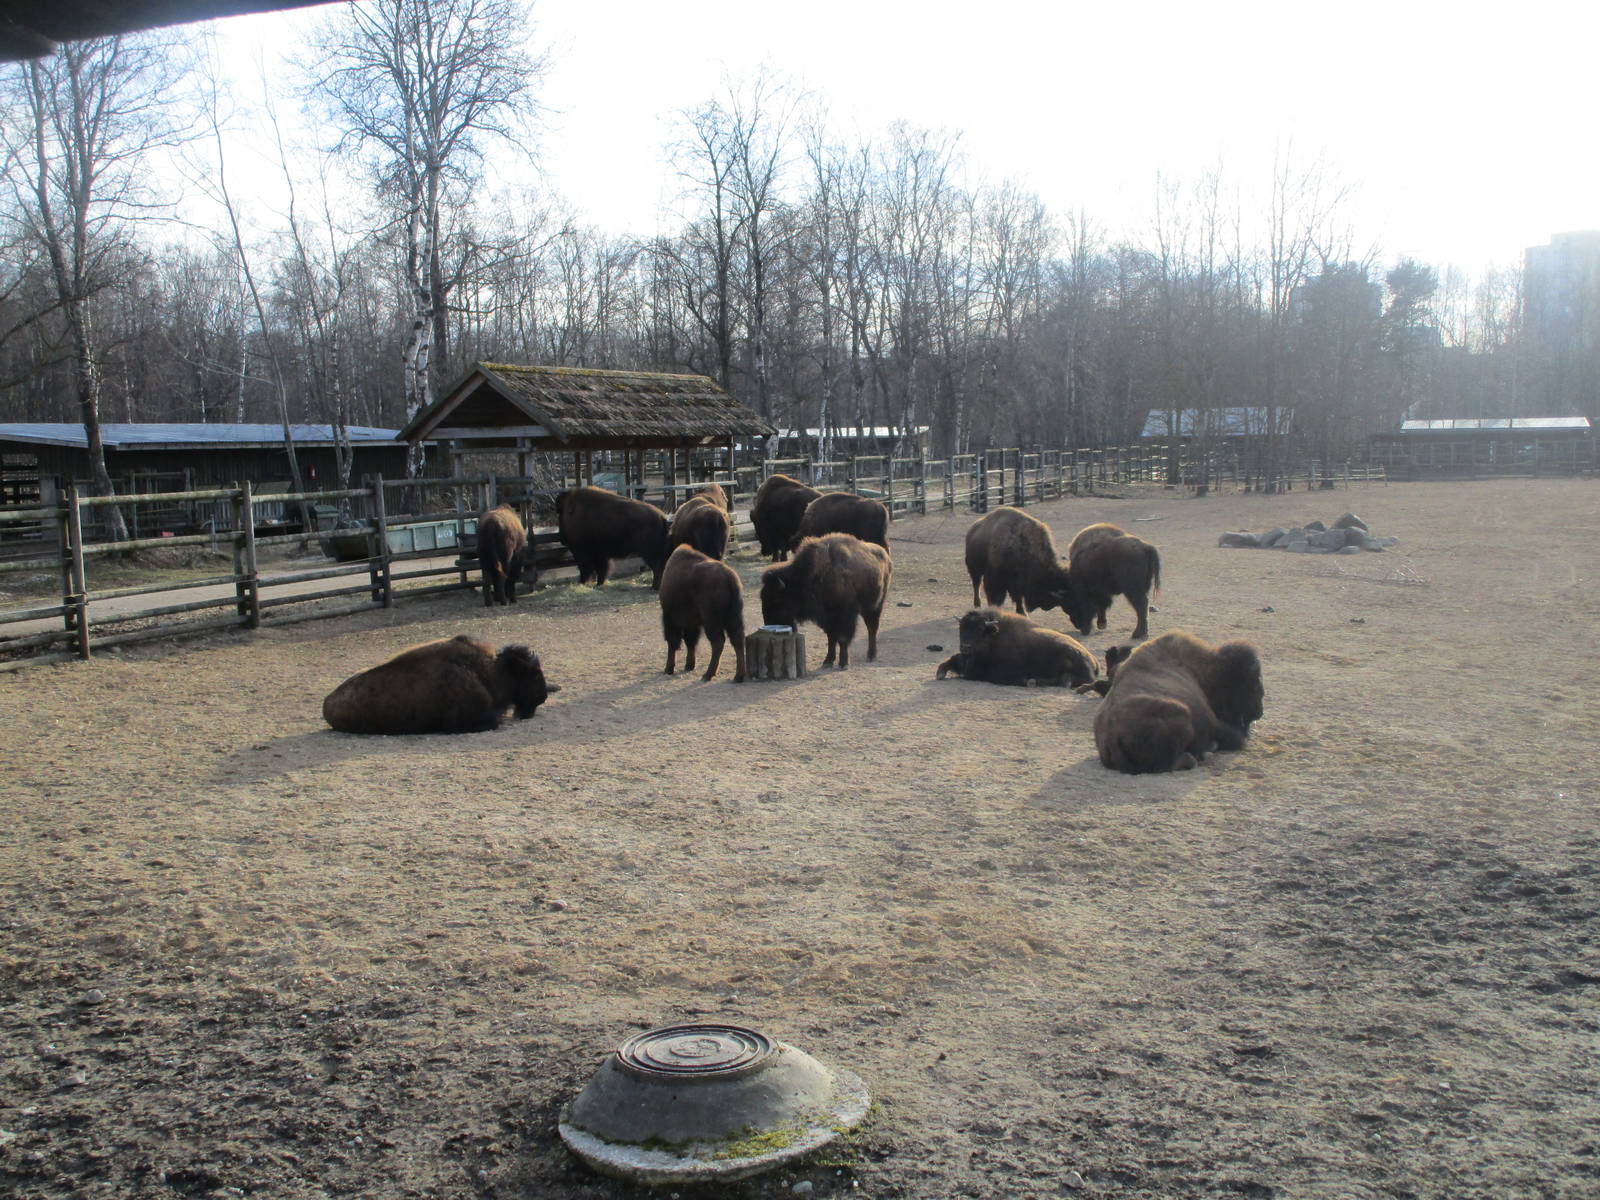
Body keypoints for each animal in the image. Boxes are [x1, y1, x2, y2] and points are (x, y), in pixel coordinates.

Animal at [659, 544, 746, 682]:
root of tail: (729, 577)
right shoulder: (692, 623)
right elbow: (690, 641)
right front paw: (689, 665)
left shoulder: (670, 619)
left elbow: (673, 642)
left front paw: (669, 669)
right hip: (733, 617)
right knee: (737, 639)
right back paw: (738, 676)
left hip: (711, 621)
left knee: (718, 642)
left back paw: (708, 674)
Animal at [760, 532, 892, 669]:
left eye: (777, 599)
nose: (769, 622)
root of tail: (885, 556)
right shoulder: (827, 618)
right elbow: (831, 638)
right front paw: (828, 661)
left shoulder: (844, 616)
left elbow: (842, 638)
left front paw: (843, 663)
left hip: (875, 607)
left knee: (872, 629)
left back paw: (871, 656)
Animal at [936, 608, 1099, 688]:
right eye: (961, 627)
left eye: (980, 629)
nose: (965, 646)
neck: (994, 637)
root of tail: (1093, 659)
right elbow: (950, 661)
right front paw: (940, 674)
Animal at [963, 507, 1095, 631]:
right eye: (1072, 599)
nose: (1083, 625)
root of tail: (973, 529)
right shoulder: (995, 579)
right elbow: (996, 598)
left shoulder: (1017, 582)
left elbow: (1018, 598)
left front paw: (1023, 614)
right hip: (974, 568)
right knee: (976, 585)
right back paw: (977, 604)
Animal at [1093, 630, 1264, 774]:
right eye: (1253, 683)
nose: (1259, 712)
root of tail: (1110, 738)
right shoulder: (1212, 722)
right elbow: (1236, 739)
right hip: (1181, 713)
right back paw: (1202, 754)